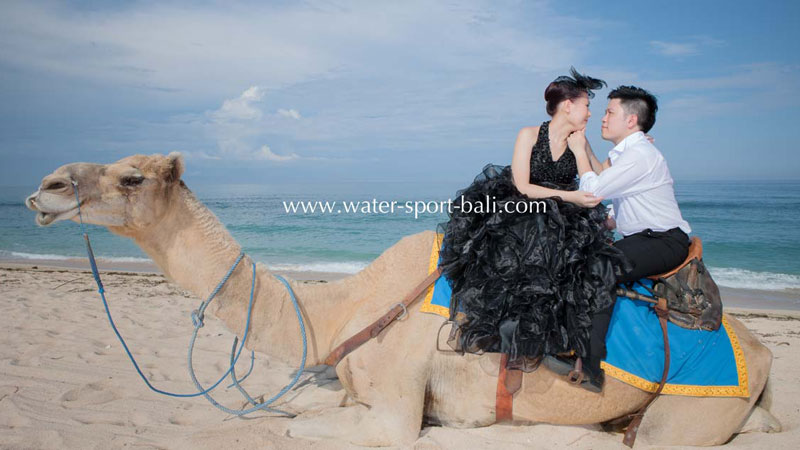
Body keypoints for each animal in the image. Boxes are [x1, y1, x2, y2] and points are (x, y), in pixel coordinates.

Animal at [26, 152, 780, 446]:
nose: (46, 187)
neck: (340, 309)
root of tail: (764, 351)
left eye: (132, 177)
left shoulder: (391, 412)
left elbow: (301, 427)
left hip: (689, 411)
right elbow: (283, 403)